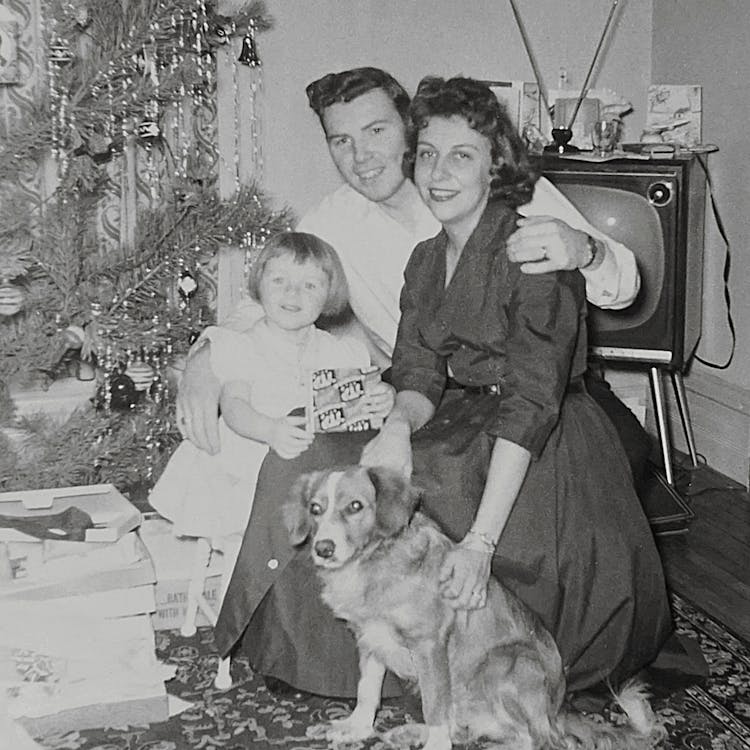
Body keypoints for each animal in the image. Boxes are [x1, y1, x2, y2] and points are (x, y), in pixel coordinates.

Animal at [284, 468, 668, 748]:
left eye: (355, 506)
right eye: (316, 509)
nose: (323, 549)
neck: (374, 561)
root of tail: (559, 709)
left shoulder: (430, 646)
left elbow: (435, 707)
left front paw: (433, 745)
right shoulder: (370, 638)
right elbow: (367, 692)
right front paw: (357, 729)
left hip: (505, 663)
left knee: (543, 741)